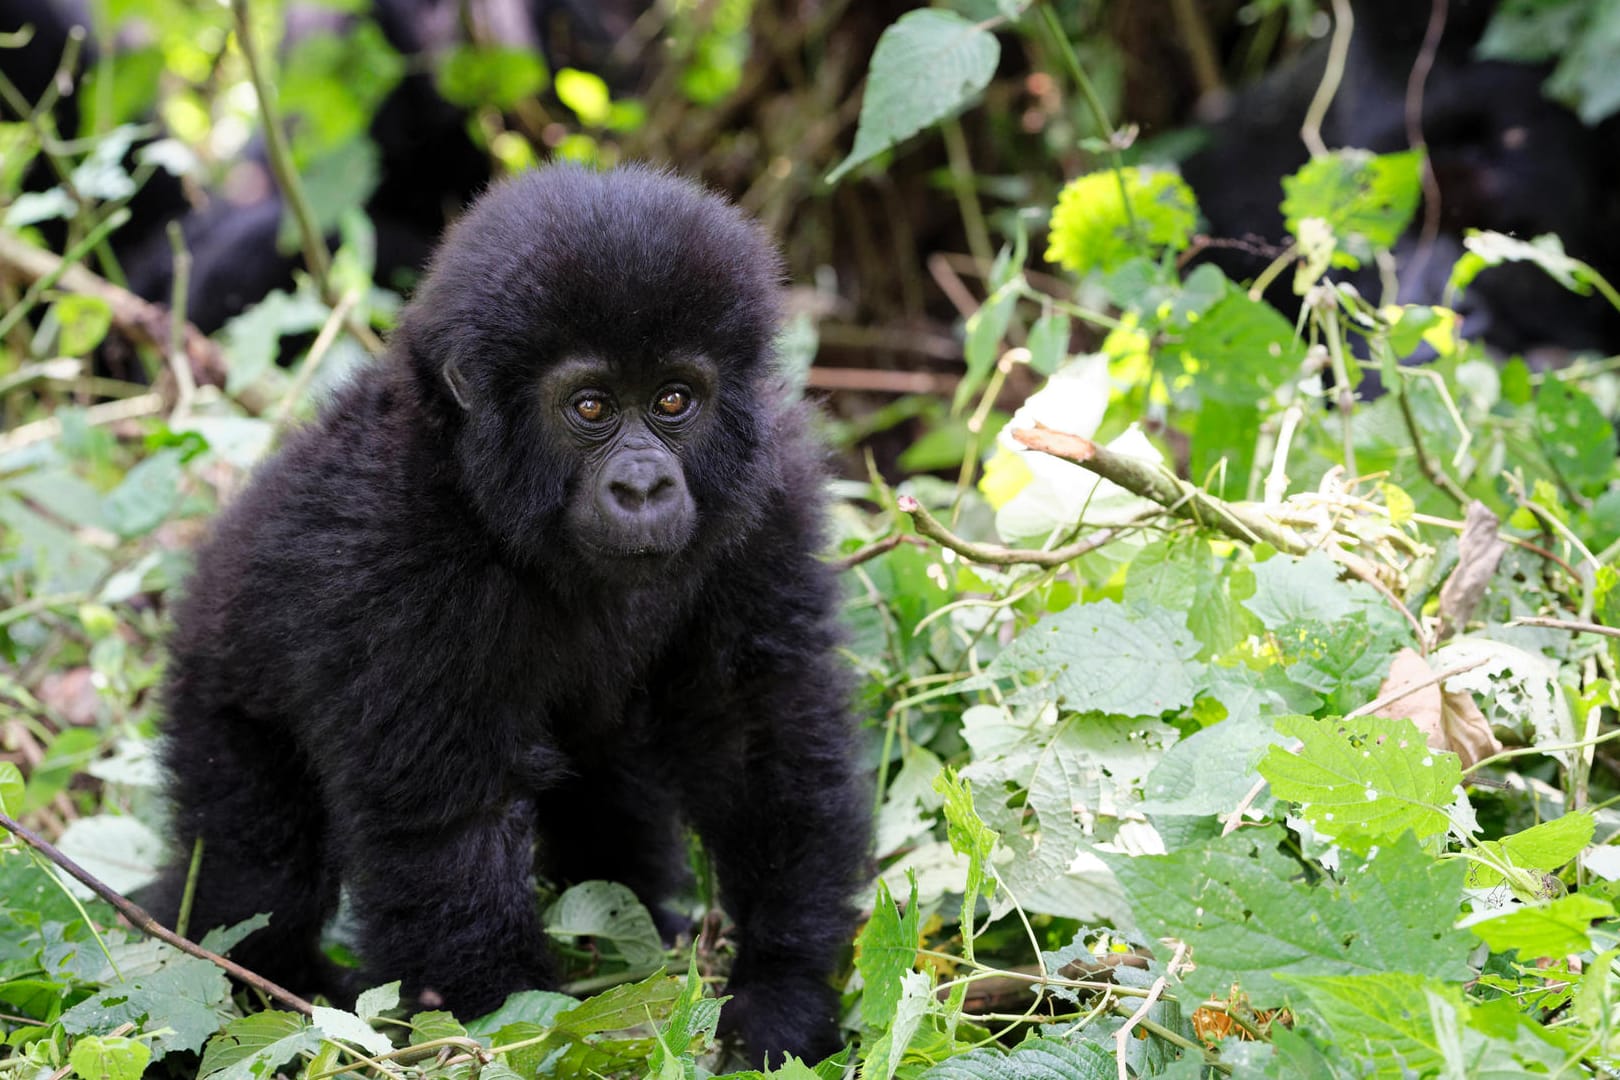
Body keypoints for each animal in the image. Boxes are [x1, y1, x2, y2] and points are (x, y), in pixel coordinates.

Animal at [149, 162, 874, 1062]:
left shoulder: (769, 491)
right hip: (216, 699)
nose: (643, 487)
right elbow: (449, 826)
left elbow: (758, 732)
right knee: (252, 877)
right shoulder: (394, 554)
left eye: (675, 399)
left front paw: (783, 987)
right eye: (591, 407)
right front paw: (520, 1037)